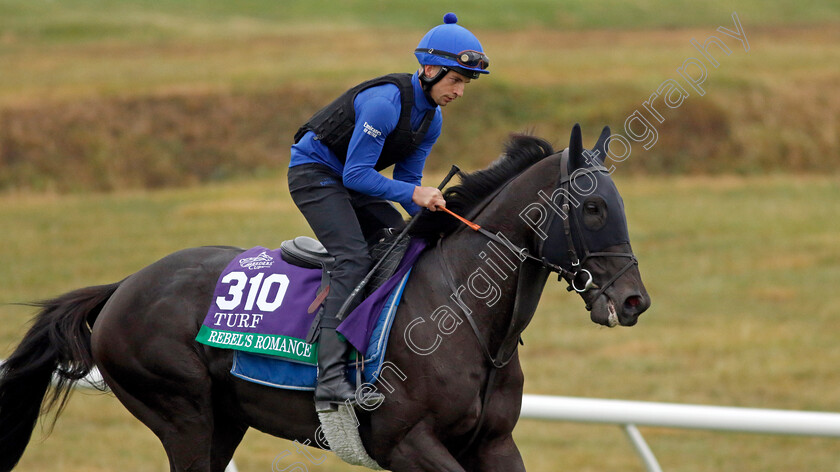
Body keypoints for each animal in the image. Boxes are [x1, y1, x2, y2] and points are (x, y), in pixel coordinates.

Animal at [0, 123, 648, 470]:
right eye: (593, 207)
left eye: (619, 204)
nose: (634, 300)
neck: (469, 320)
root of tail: (123, 286)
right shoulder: (409, 444)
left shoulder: (494, 444)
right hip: (180, 411)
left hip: (222, 419)